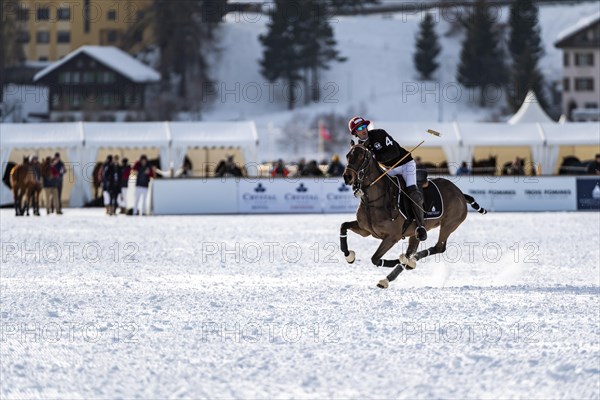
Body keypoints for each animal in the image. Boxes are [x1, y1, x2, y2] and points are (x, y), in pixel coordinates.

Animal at [338, 145, 488, 290]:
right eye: (347, 155)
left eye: (361, 156)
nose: (347, 177)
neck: (374, 200)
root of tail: (460, 193)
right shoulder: (365, 230)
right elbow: (343, 225)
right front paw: (349, 256)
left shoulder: (393, 236)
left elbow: (375, 258)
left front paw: (401, 260)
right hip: (415, 233)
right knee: (415, 249)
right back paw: (388, 278)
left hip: (449, 223)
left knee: (438, 247)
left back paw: (409, 262)